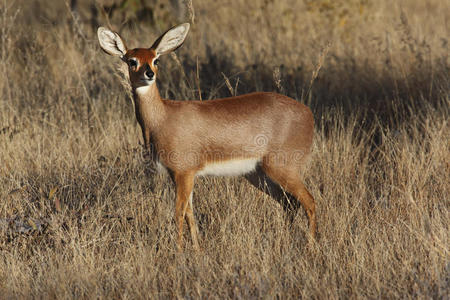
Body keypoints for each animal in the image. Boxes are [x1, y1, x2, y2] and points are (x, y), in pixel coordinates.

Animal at [98, 23, 316, 250]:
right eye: (132, 60)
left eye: (156, 59)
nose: (149, 73)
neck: (163, 117)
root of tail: (308, 113)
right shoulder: (181, 175)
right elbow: (190, 214)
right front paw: (197, 250)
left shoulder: (183, 172)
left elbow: (178, 213)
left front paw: (178, 251)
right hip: (258, 174)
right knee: (289, 203)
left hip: (282, 169)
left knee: (310, 201)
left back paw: (311, 248)